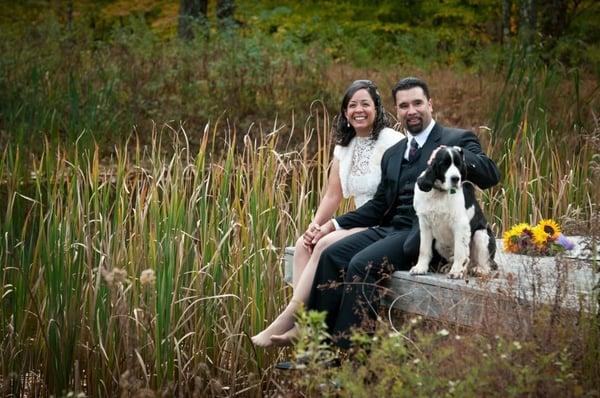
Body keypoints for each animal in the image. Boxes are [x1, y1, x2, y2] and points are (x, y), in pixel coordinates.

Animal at [412, 146, 496, 280]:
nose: (455, 178)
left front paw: (456, 272)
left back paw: (479, 270)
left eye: (459, 164)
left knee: (485, 264)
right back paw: (449, 267)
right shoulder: (424, 223)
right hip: (439, 244)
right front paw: (420, 268)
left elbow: (460, 251)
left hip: (481, 235)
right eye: (444, 164)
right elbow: (424, 249)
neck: (440, 193)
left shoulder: (460, 225)